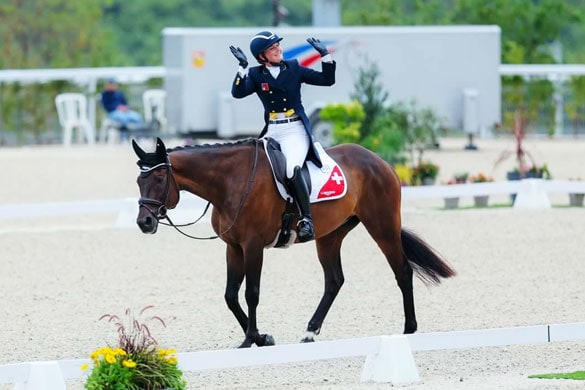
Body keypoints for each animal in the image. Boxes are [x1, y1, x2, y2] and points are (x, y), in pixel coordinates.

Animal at [133, 136, 456, 348]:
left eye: (159, 179)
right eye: (139, 181)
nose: (144, 222)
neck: (231, 181)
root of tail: (378, 160)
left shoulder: (252, 245)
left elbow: (251, 292)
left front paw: (251, 339)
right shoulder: (233, 247)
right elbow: (230, 295)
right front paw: (261, 337)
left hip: (382, 225)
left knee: (402, 270)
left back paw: (409, 329)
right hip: (330, 235)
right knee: (334, 280)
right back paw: (310, 331)